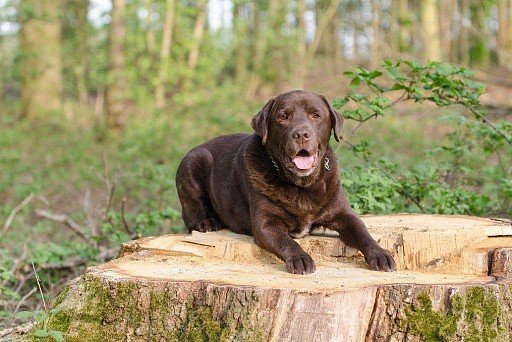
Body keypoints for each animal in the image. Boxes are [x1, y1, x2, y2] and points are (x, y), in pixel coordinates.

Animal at [176, 89, 396, 274]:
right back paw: (206, 222)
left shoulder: (344, 215)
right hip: (194, 160)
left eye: (316, 115)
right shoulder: (266, 224)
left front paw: (380, 254)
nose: (301, 134)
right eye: (283, 117)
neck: (303, 185)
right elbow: (287, 241)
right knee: (190, 215)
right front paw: (300, 259)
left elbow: (363, 232)